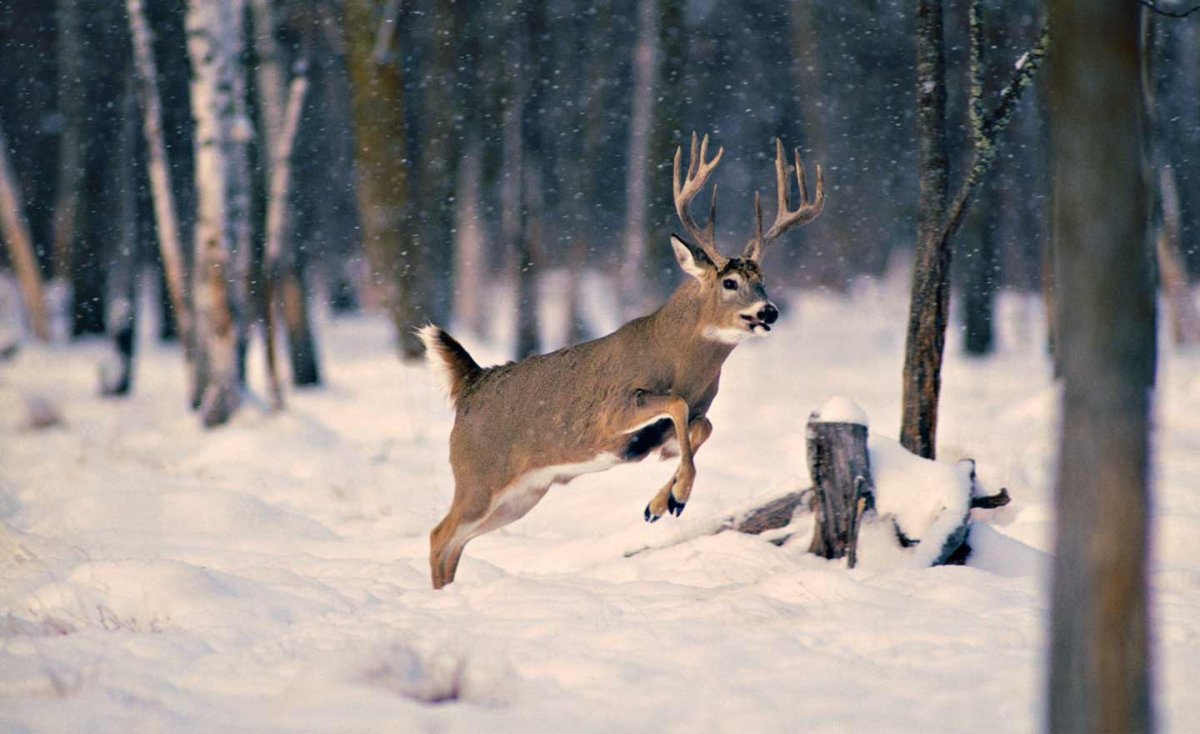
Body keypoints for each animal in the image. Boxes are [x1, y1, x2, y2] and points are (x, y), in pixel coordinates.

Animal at [417, 134, 820, 587]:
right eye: (730, 282)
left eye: (762, 280)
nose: (769, 311)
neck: (678, 359)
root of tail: (472, 382)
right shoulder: (612, 413)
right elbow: (677, 406)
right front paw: (677, 497)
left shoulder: (684, 423)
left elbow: (702, 426)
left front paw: (661, 503)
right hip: (478, 476)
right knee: (439, 535)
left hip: (520, 495)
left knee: (456, 542)